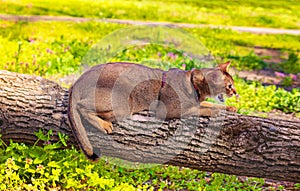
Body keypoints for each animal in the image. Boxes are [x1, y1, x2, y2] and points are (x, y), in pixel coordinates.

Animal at [68, 61, 239, 161]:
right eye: (229, 86)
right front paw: (217, 112)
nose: (236, 93)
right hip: (124, 104)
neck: (193, 84)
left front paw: (230, 108)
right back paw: (103, 125)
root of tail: (79, 80)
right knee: (81, 106)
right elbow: (200, 109)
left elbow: (209, 104)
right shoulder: (170, 110)